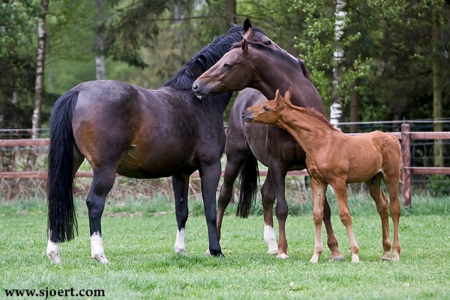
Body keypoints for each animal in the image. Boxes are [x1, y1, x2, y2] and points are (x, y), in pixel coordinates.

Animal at [47, 19, 276, 264]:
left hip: (71, 162)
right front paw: (216, 250)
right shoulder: (210, 166)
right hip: (105, 169)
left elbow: (181, 211)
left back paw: (54, 253)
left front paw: (181, 250)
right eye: (265, 42)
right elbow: (210, 209)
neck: (197, 100)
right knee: (95, 204)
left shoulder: (181, 173)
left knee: (56, 201)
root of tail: (78, 91)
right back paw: (100, 256)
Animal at [192, 35, 342, 260]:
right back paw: (215, 246)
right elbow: (282, 208)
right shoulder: (278, 164)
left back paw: (271, 244)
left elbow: (324, 208)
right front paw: (283, 250)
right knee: (224, 196)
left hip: (269, 167)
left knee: (266, 194)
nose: (196, 86)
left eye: (227, 64)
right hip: (236, 158)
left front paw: (335, 250)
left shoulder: (310, 167)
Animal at [244, 88, 402, 262]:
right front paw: (315, 255)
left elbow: (345, 215)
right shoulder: (318, 181)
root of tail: (393, 139)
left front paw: (354, 254)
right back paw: (385, 252)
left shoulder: (339, 181)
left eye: (266, 107)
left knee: (395, 208)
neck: (322, 143)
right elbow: (317, 214)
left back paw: (395, 253)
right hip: (373, 180)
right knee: (382, 206)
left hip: (391, 178)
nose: (245, 113)